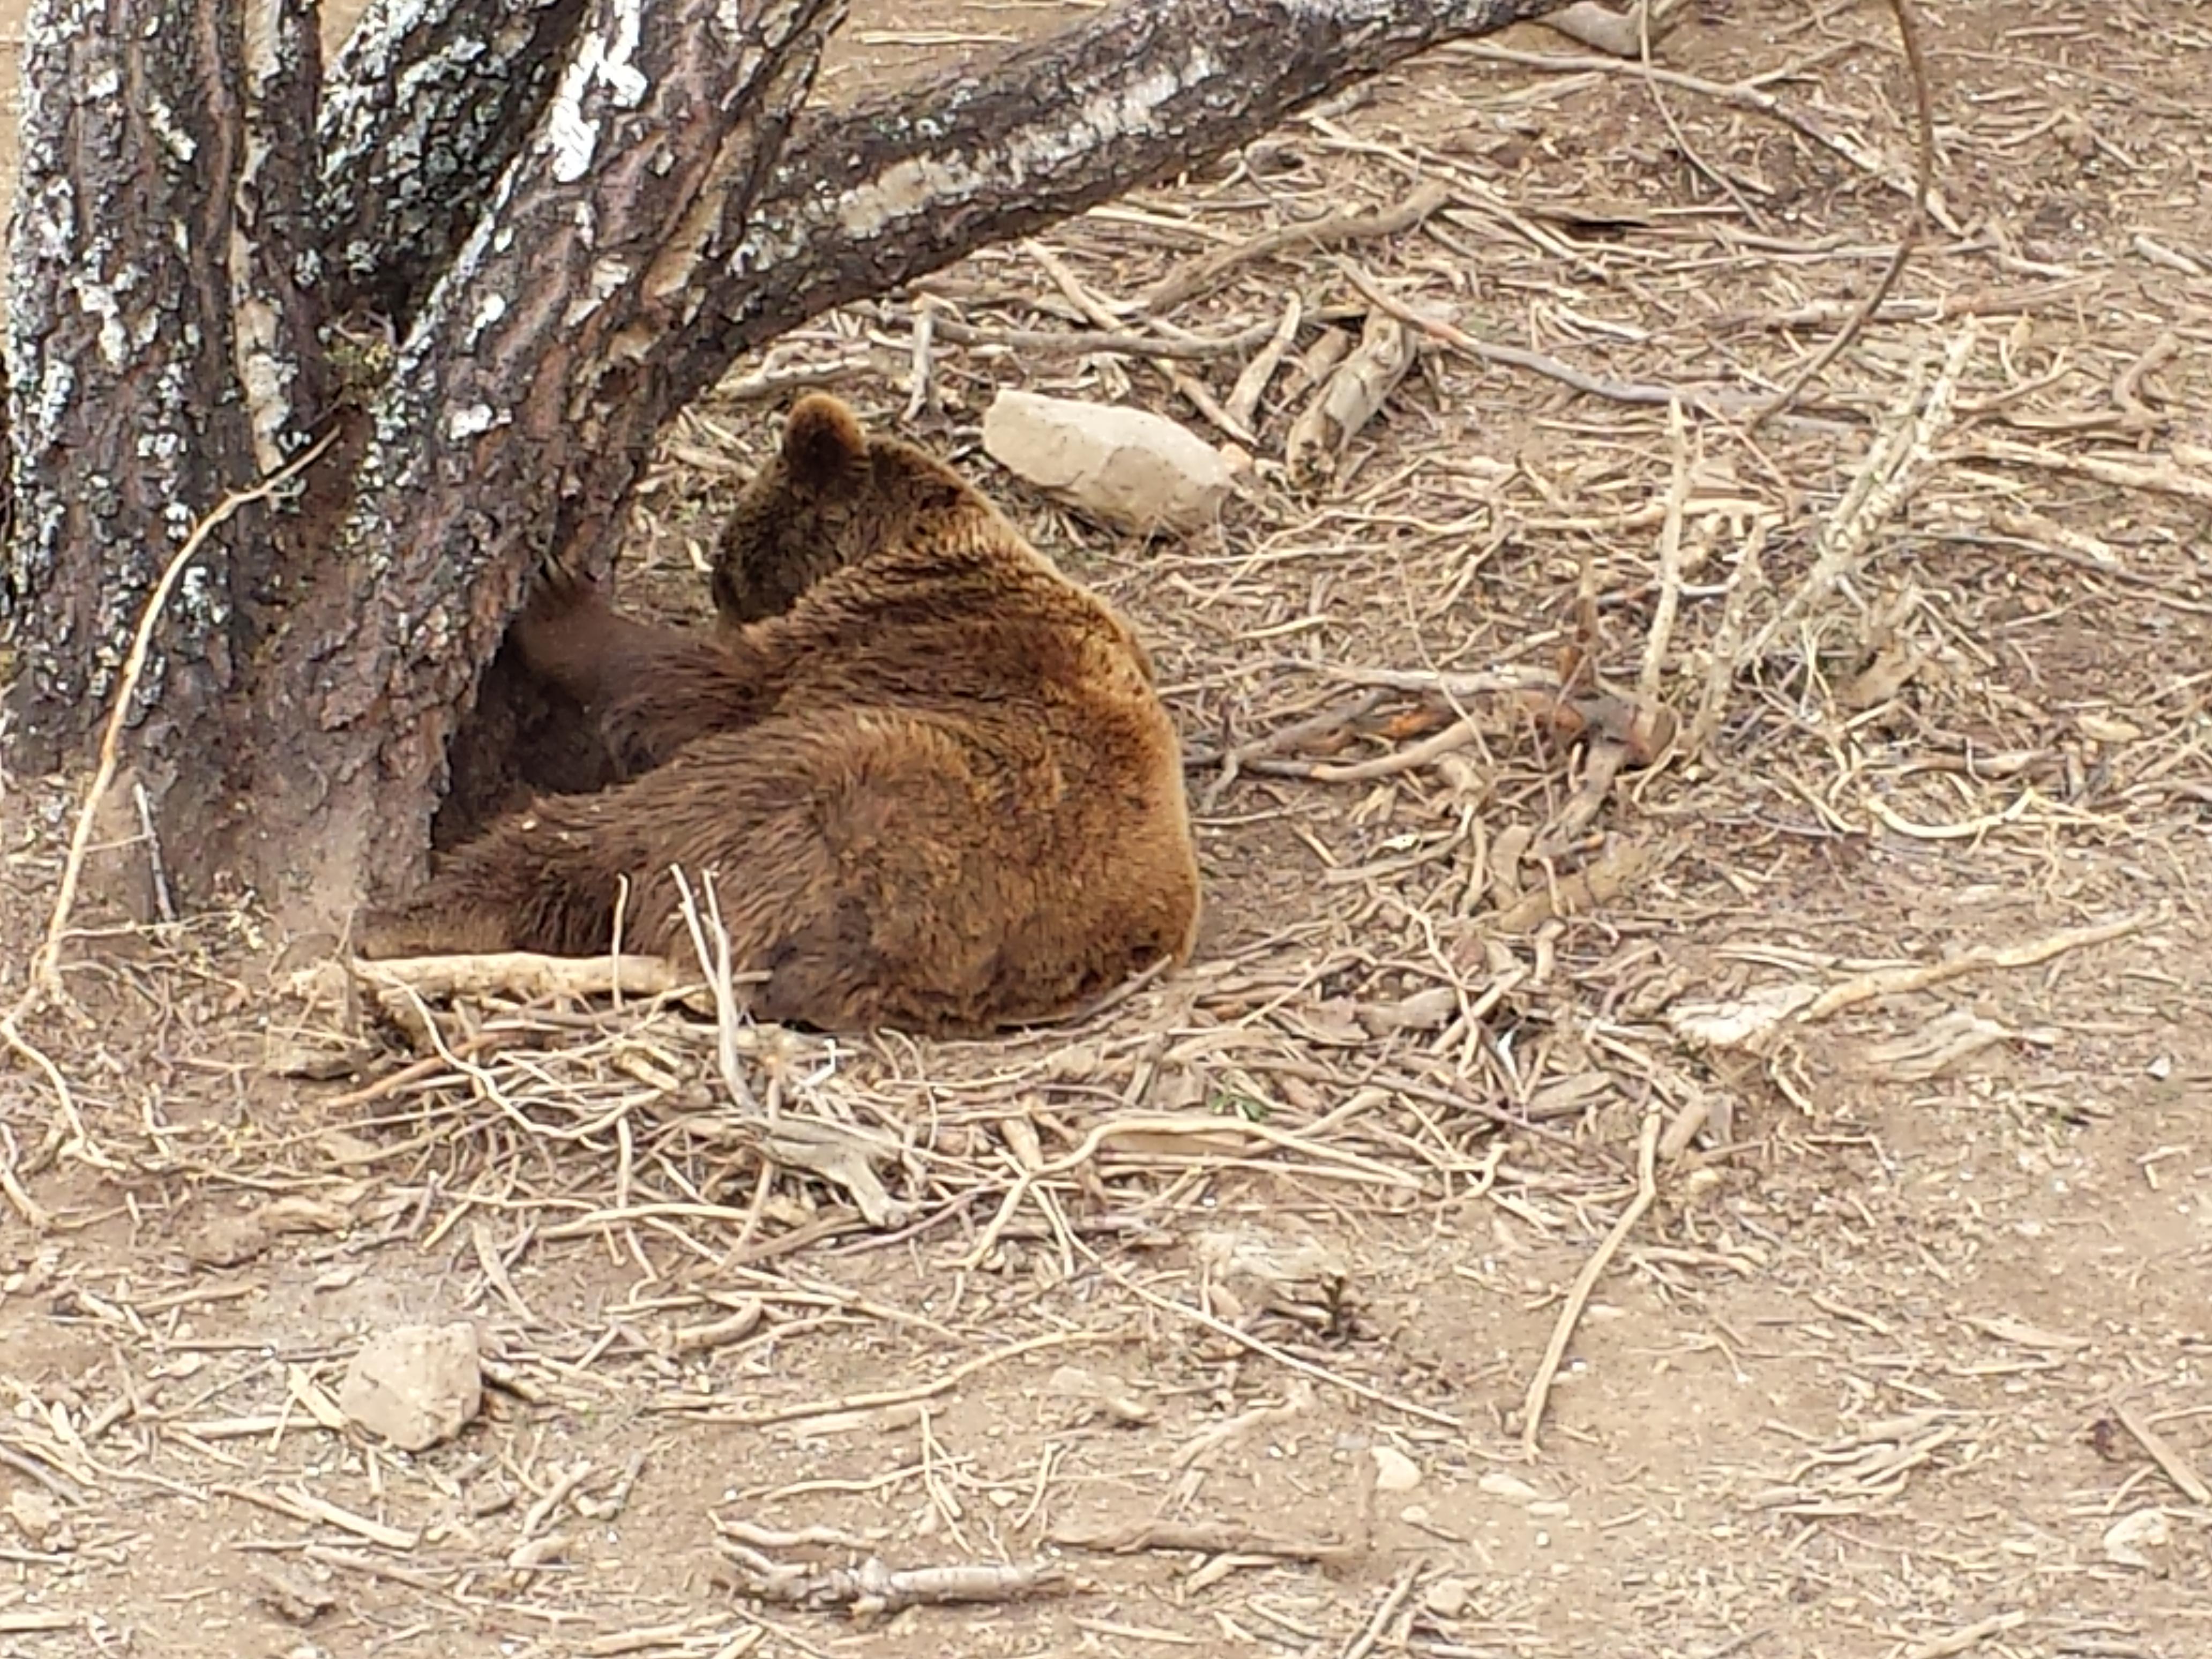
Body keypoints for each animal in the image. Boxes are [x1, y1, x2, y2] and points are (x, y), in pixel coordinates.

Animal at [354, 393, 1203, 1040]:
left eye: (729, 577)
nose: (720, 592)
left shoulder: (869, 644)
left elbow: (693, 688)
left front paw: (552, 594)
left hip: (813, 796)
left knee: (602, 837)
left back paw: (403, 916)